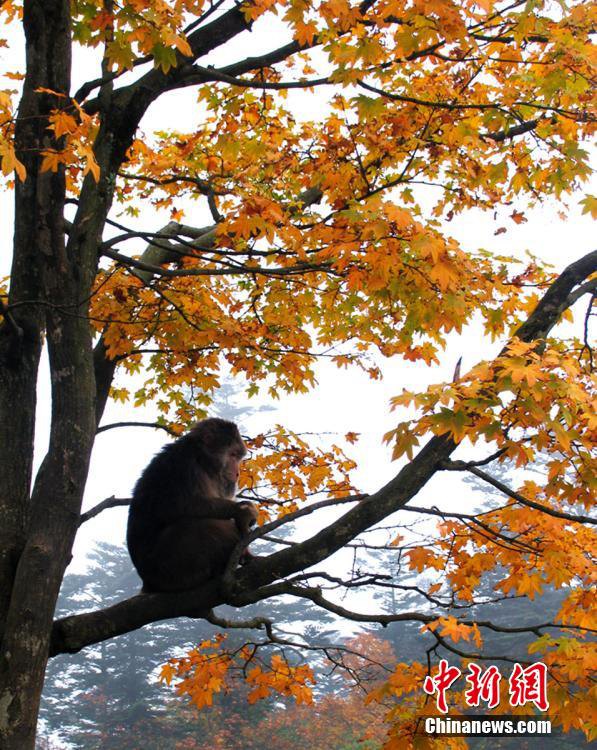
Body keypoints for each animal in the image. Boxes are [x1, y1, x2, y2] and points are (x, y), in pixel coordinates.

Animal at [124, 418, 258, 592]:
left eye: (238, 457)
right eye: (233, 455)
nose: (237, 473)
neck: (202, 460)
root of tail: (148, 582)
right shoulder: (183, 464)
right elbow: (188, 505)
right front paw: (242, 511)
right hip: (167, 569)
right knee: (197, 524)